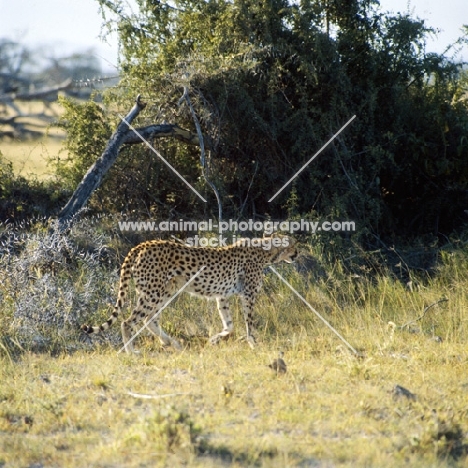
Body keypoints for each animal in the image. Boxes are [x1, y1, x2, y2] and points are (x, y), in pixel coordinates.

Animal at [82, 232, 298, 352]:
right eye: (293, 244)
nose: (297, 253)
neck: (266, 252)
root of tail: (143, 244)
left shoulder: (222, 296)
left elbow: (229, 325)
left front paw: (214, 339)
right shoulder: (248, 295)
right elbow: (249, 324)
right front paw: (254, 344)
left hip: (165, 291)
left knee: (149, 319)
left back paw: (171, 343)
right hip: (154, 292)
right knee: (128, 322)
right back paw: (132, 352)